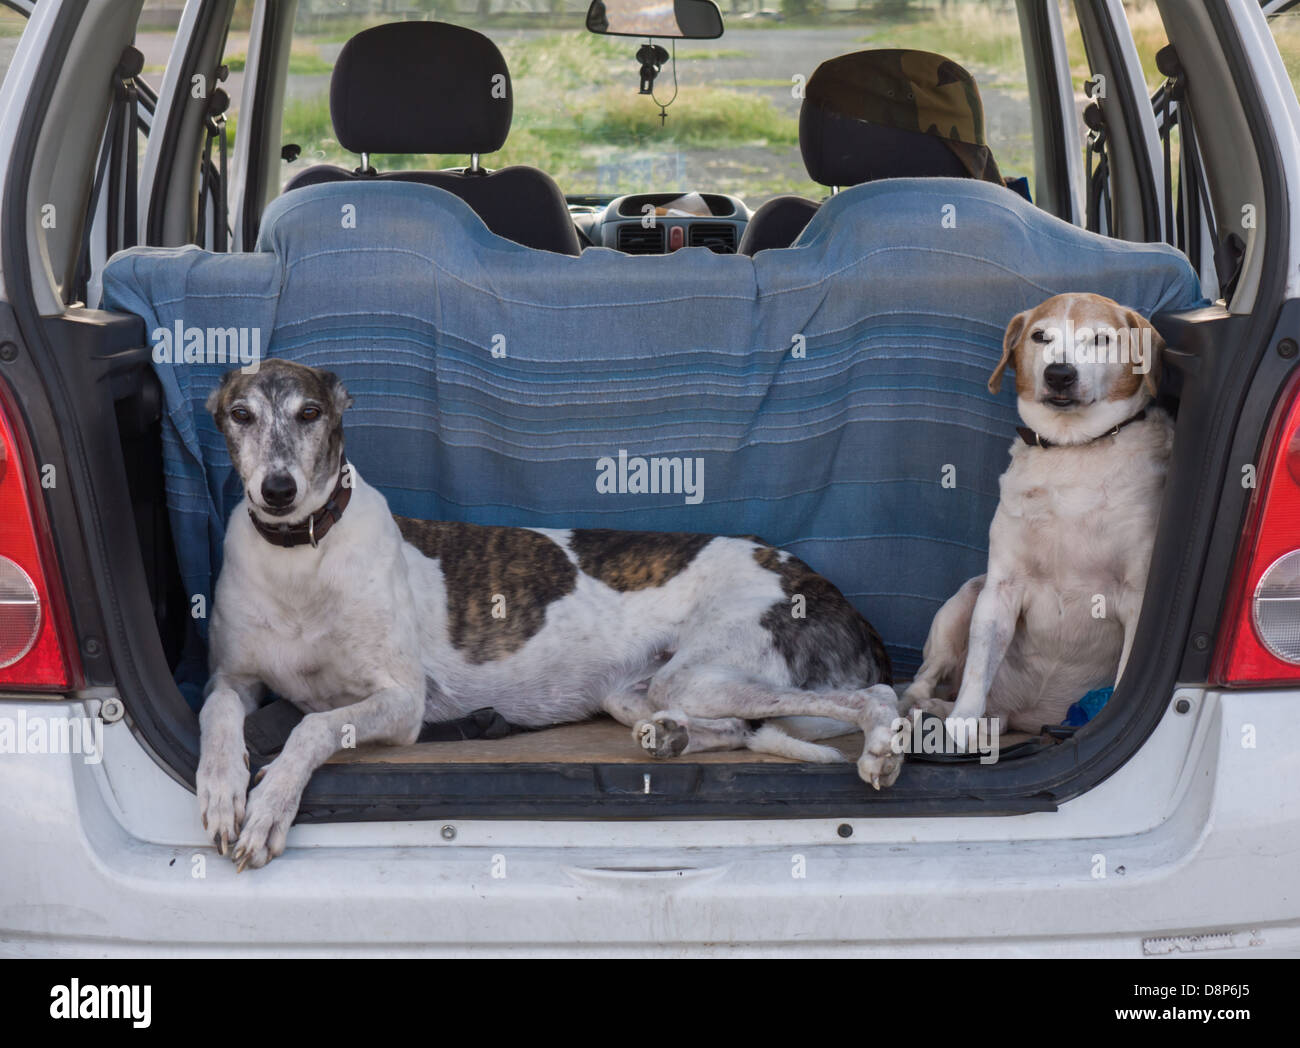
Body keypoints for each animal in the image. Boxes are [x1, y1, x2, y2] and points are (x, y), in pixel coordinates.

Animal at [899, 291, 1175, 743]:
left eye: (1101, 339)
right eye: (1040, 336)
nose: (1059, 374)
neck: (1072, 449)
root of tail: (1025, 716)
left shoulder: (1137, 595)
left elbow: (1125, 675)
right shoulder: (1001, 589)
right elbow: (977, 670)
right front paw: (961, 723)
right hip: (964, 599)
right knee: (927, 676)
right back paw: (925, 708)